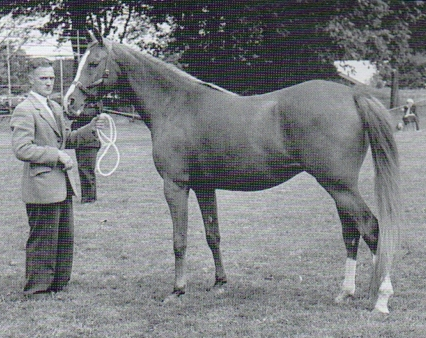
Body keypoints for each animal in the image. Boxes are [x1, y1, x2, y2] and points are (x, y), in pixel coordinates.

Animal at [64, 31, 400, 314]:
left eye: (93, 63)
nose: (70, 102)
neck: (175, 104)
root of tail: (352, 96)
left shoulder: (175, 186)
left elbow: (179, 239)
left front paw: (177, 290)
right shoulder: (204, 187)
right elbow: (213, 235)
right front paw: (220, 283)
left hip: (339, 186)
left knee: (371, 228)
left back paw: (381, 298)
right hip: (338, 187)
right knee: (351, 234)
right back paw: (346, 292)